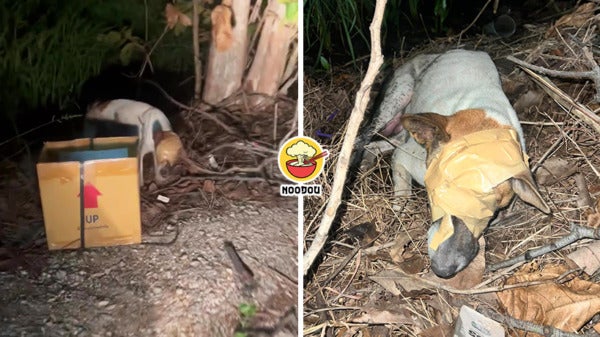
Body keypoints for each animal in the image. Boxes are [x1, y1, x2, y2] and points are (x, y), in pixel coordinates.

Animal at [358, 48, 552, 278]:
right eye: (435, 194)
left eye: (490, 207)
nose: (443, 269)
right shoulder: (404, 158)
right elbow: (402, 195)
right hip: (395, 99)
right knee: (363, 137)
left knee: (377, 145)